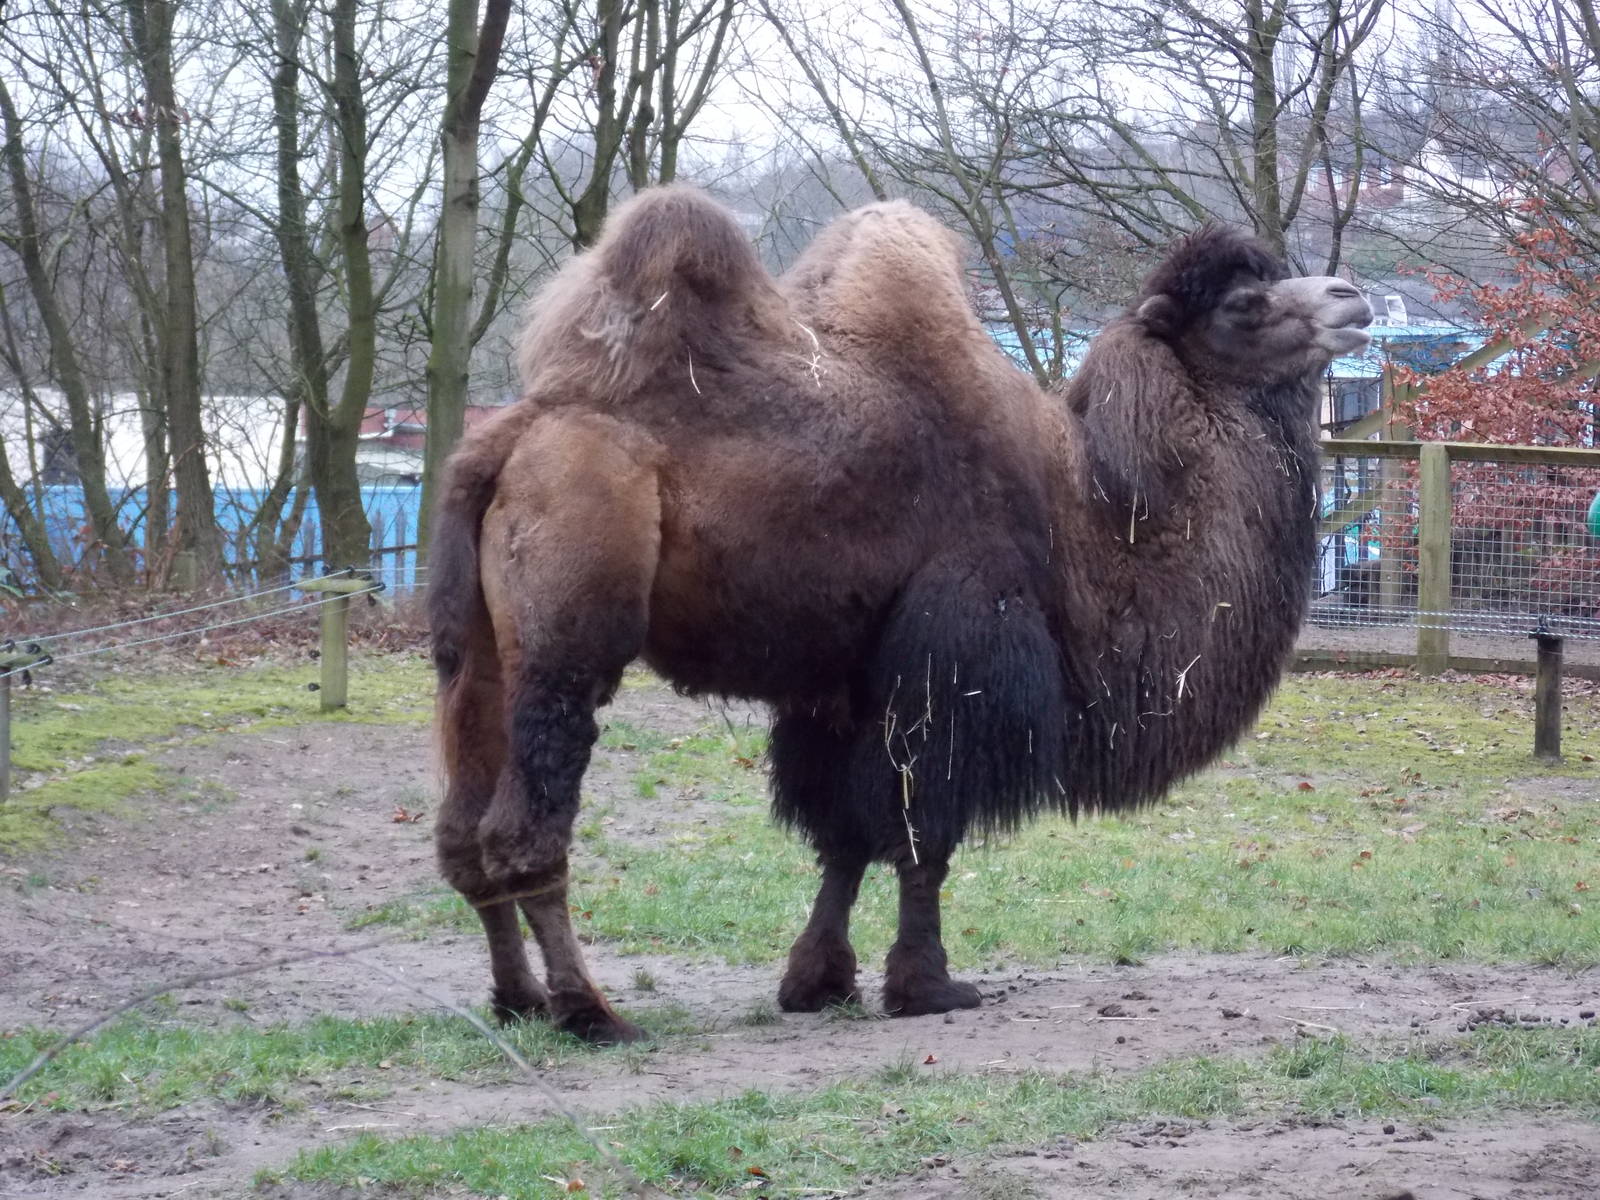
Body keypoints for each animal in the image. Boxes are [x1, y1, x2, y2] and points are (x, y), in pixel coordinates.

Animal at [428, 186, 1372, 1043]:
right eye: (1244, 307)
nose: (1352, 299)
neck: (1085, 515)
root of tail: (504, 443)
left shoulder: (847, 686)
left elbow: (844, 834)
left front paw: (819, 980)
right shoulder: (959, 652)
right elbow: (925, 831)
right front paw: (928, 986)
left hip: (471, 652)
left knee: (464, 835)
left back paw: (516, 1002)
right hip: (568, 639)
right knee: (526, 829)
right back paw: (588, 1010)